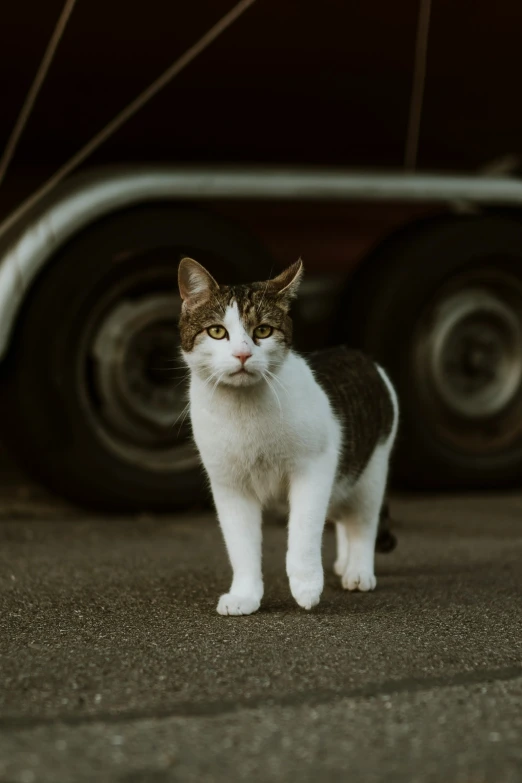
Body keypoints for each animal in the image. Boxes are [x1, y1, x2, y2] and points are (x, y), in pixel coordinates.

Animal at [177, 256, 396, 612]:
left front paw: (306, 586)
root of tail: (354, 352)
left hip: (370, 470)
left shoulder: (314, 469)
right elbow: (241, 547)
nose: (242, 354)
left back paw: (358, 571)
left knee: (362, 523)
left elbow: (304, 534)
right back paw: (343, 563)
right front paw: (245, 596)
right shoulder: (229, 484)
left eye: (263, 331)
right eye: (217, 332)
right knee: (342, 517)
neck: (244, 413)